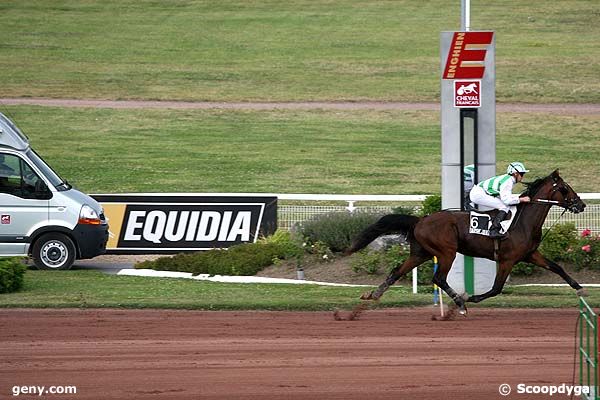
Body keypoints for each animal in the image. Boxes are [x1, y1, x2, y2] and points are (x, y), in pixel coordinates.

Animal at [346, 170, 584, 314]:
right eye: (565, 188)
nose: (580, 205)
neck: (523, 222)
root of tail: (420, 220)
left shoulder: (530, 254)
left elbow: (557, 267)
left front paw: (580, 288)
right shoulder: (507, 260)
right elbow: (496, 288)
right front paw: (472, 298)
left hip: (421, 252)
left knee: (397, 271)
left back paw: (373, 294)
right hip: (446, 252)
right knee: (439, 278)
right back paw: (460, 303)